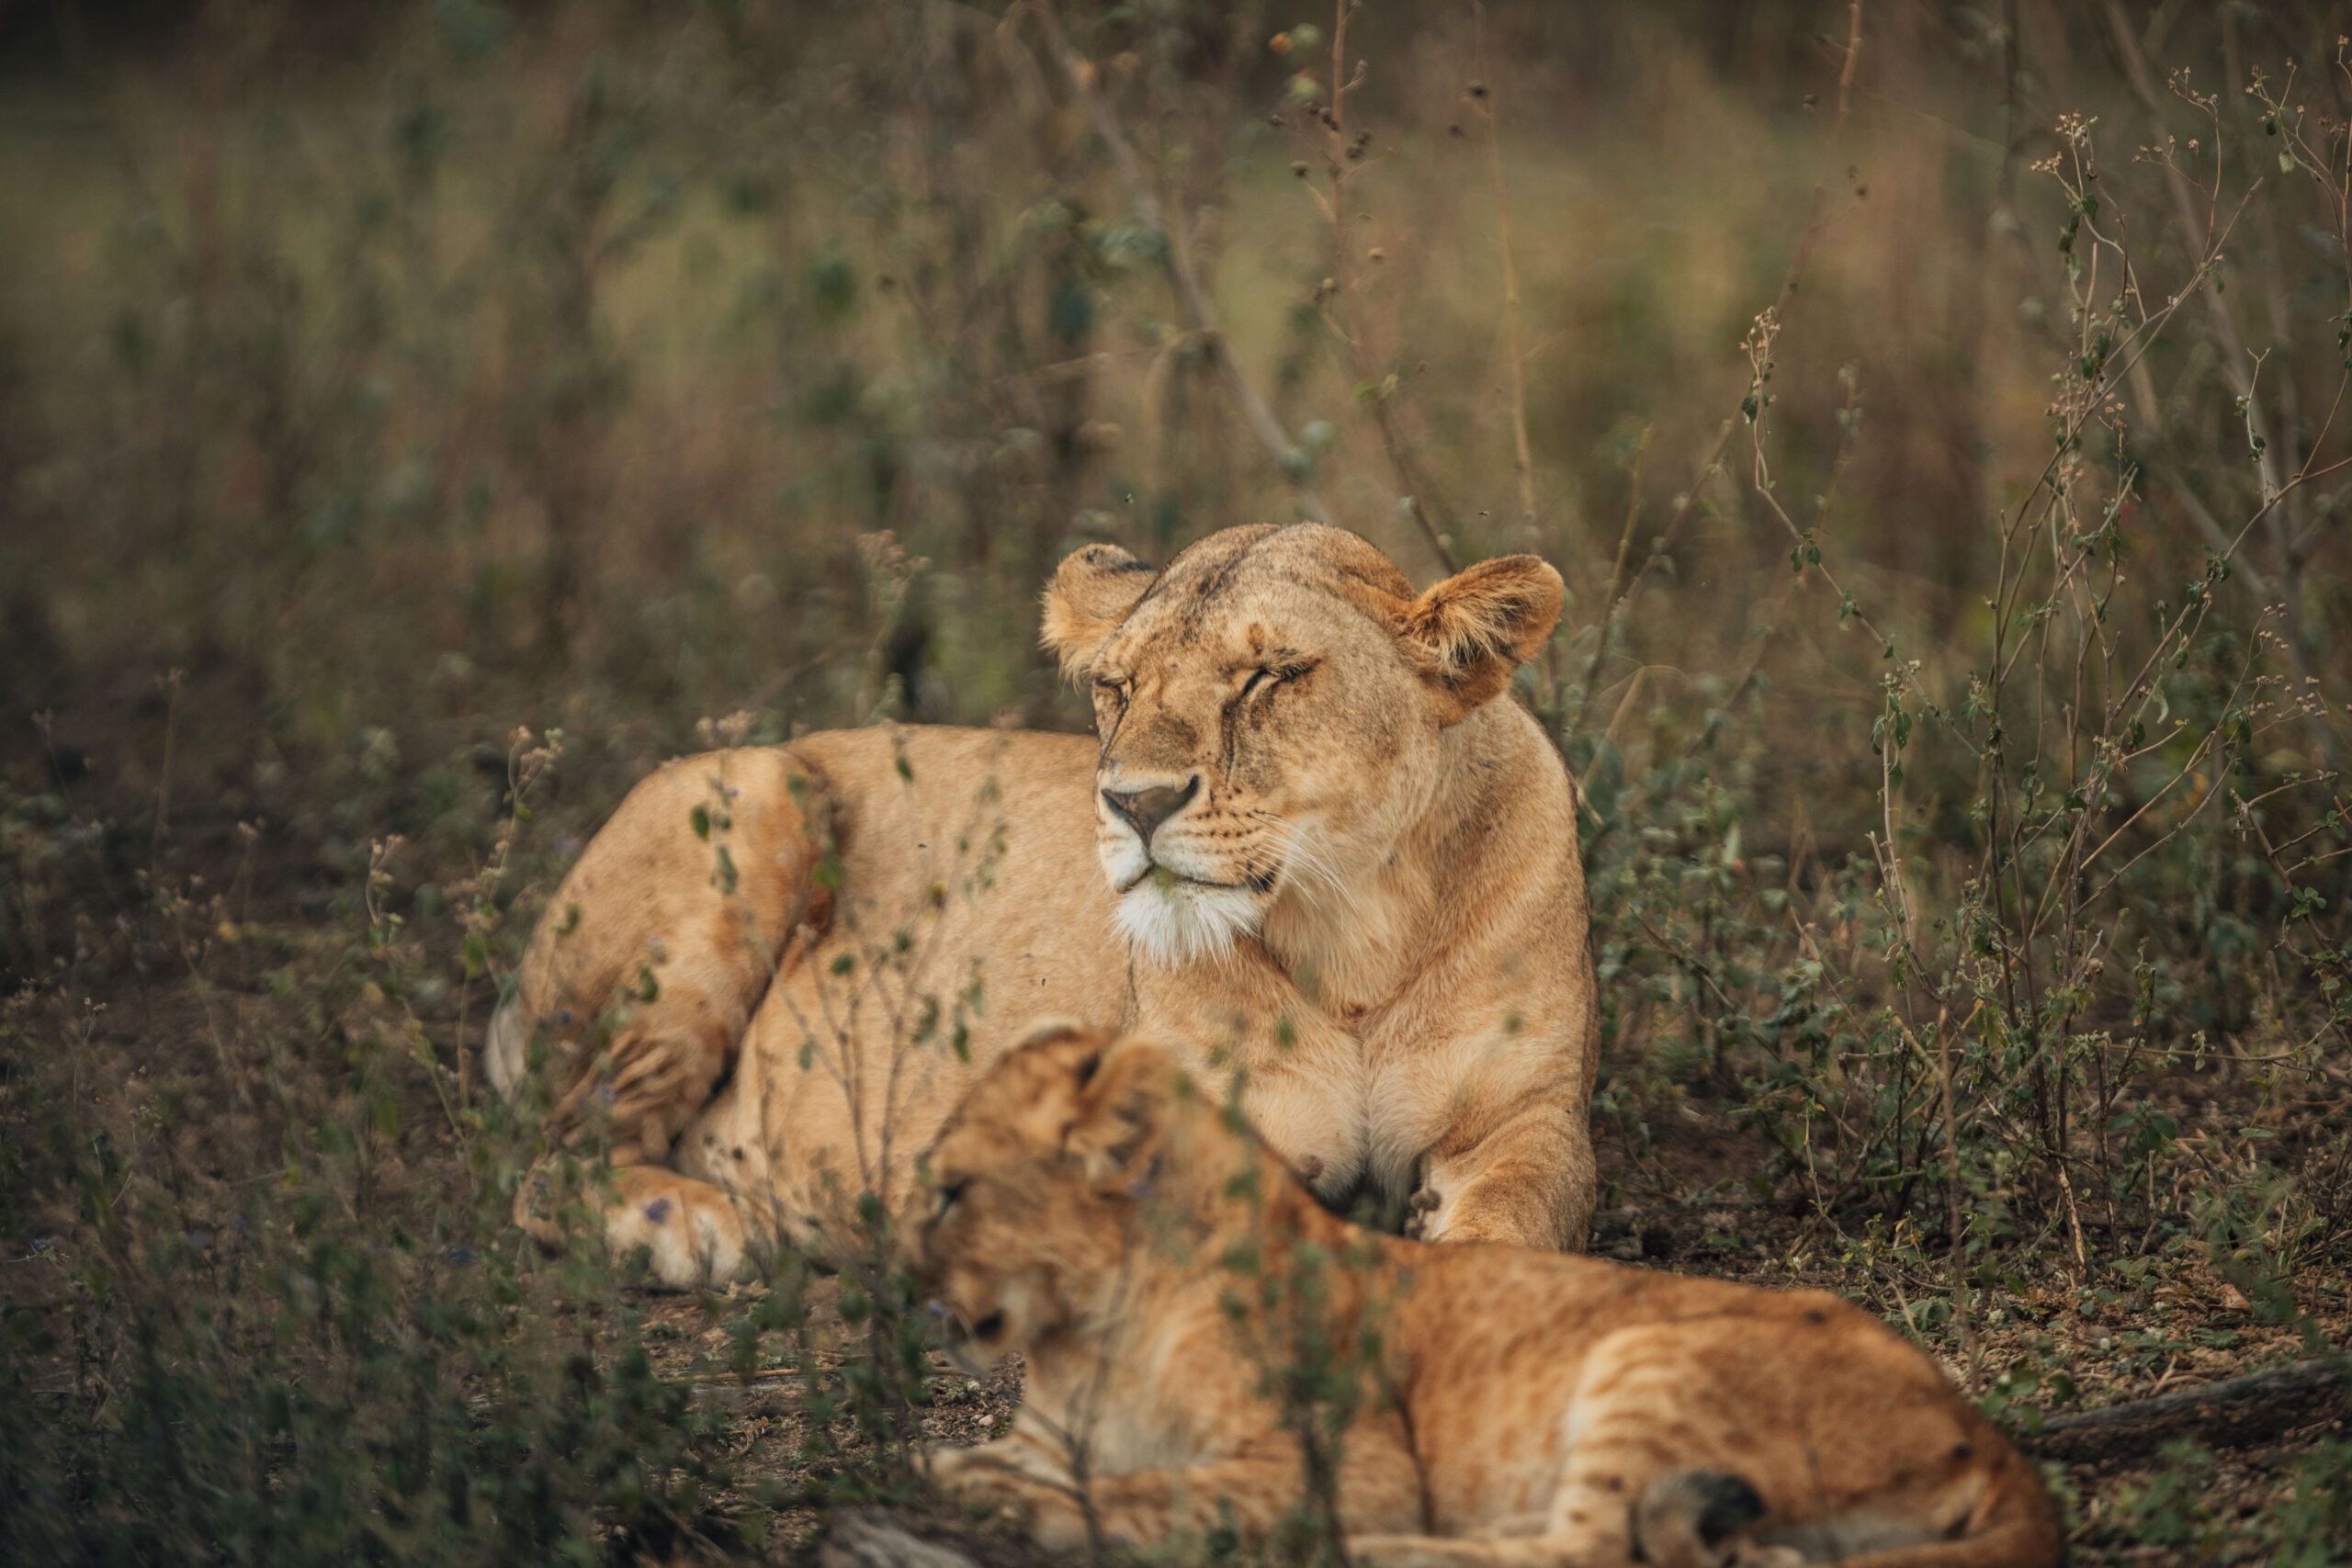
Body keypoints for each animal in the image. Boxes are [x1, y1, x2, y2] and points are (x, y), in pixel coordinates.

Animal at [489, 522, 1601, 1285]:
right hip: (762, 788)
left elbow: (1521, 1221)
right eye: (1116, 686)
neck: (1351, 933)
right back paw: (699, 1226)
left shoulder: (1532, 1117)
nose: (1134, 802)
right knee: (551, 1160)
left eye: (1268, 675)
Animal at [913, 1025, 2065, 1568]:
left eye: (953, 1190)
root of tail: (1982, 1427)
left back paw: (1372, 1555)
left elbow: (1159, 1490)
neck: (1085, 1334)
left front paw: (1009, 1505)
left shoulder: (1360, 1464)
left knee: (1591, 1553)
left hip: (1646, 1362)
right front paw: (970, 1476)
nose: (917, 1299)